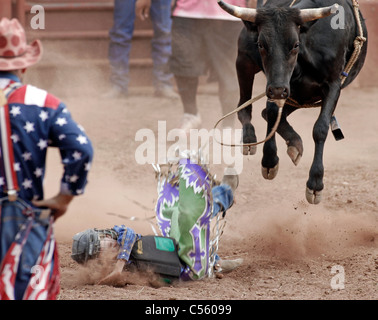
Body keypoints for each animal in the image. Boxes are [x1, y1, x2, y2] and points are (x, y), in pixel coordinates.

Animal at [217, 0, 368, 205]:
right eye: (261, 44)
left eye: (295, 44)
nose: (278, 90)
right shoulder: (274, 82)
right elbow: (272, 113)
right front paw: (270, 160)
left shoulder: (333, 85)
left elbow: (320, 128)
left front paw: (315, 183)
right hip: (244, 63)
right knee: (245, 108)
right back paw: (250, 138)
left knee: (267, 113)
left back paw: (294, 143)